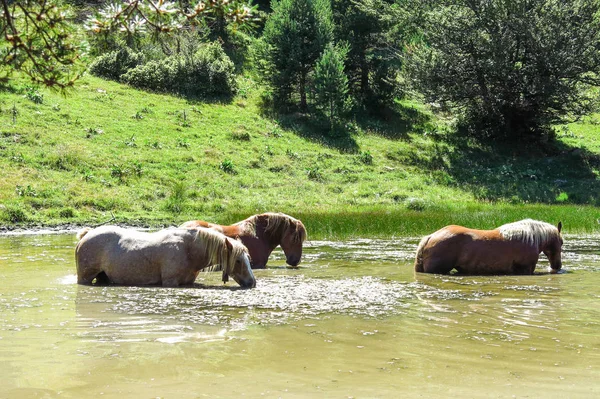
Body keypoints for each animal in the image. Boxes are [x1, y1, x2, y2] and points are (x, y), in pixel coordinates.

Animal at [75, 227, 255, 290]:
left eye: (249, 259)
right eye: (238, 261)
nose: (252, 282)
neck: (189, 249)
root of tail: (86, 235)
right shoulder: (170, 282)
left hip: (103, 277)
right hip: (84, 277)